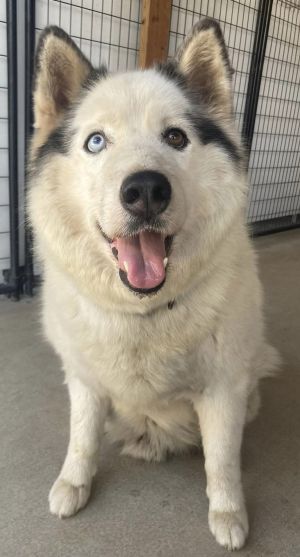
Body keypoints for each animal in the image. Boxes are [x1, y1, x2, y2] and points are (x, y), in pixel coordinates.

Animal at [28, 19, 278, 548]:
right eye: (96, 142)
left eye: (176, 137)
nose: (145, 190)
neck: (141, 313)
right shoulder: (83, 380)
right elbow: (81, 438)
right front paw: (73, 484)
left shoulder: (223, 388)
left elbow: (221, 461)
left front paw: (229, 512)